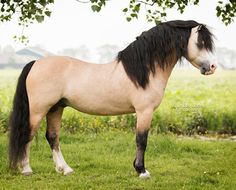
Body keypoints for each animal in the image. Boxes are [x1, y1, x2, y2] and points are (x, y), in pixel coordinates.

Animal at [8, 20, 216, 178]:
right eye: (200, 43)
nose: (212, 67)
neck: (144, 71)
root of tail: (35, 63)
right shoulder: (144, 111)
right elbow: (142, 140)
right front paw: (142, 171)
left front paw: (137, 168)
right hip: (39, 110)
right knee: (28, 135)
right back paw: (26, 169)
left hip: (56, 108)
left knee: (52, 137)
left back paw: (65, 169)